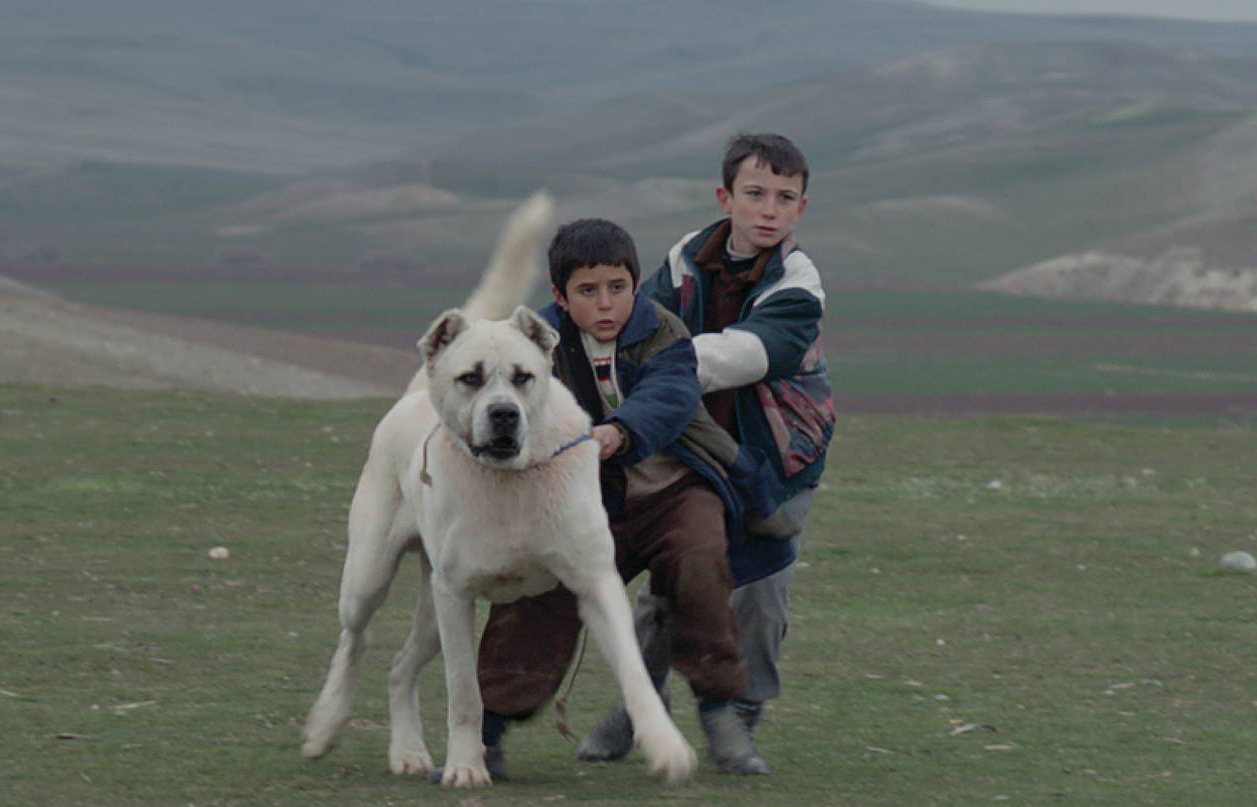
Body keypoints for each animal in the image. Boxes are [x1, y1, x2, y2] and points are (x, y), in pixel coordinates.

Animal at [301, 194, 698, 784]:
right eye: (471, 378)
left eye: (523, 376)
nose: (504, 414)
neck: (514, 482)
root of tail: (416, 392)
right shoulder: (458, 594)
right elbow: (466, 691)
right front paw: (467, 767)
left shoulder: (594, 583)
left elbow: (635, 674)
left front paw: (666, 746)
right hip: (373, 577)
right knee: (356, 640)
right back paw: (326, 727)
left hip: (429, 607)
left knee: (399, 666)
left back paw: (408, 752)